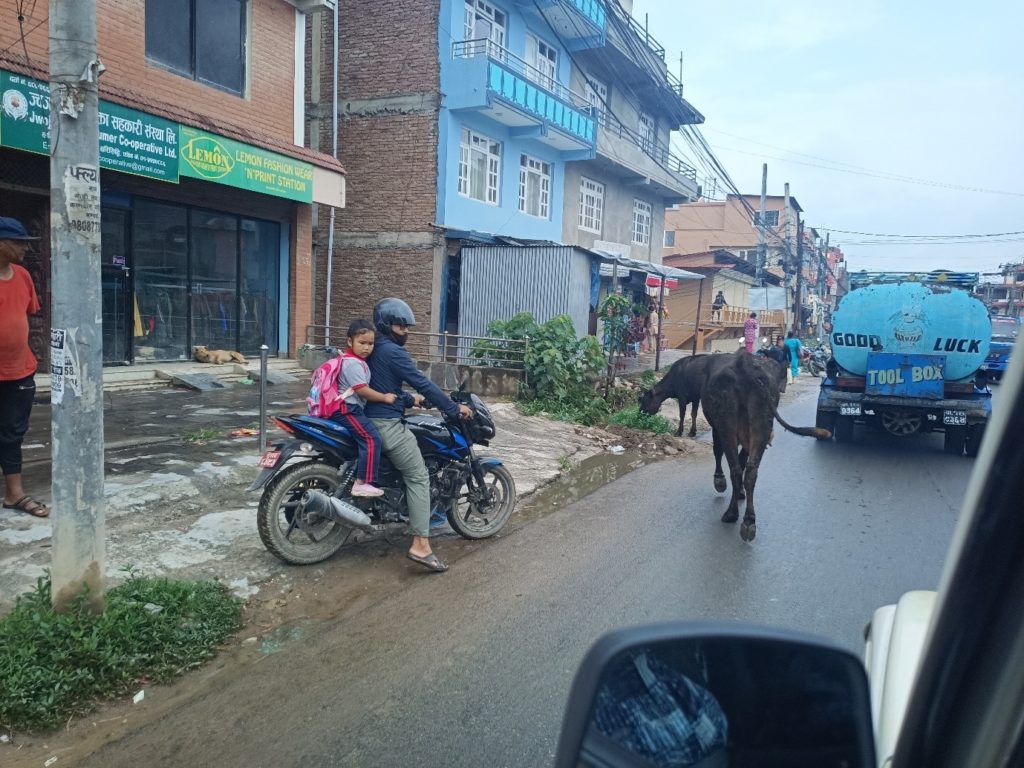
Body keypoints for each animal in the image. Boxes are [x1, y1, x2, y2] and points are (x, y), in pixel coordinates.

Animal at [704, 354, 831, 540]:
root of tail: (745, 366)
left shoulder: (717, 428)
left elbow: (719, 452)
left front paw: (720, 482)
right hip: (761, 425)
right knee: (750, 471)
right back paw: (748, 521)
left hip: (727, 426)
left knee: (736, 469)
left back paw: (732, 514)